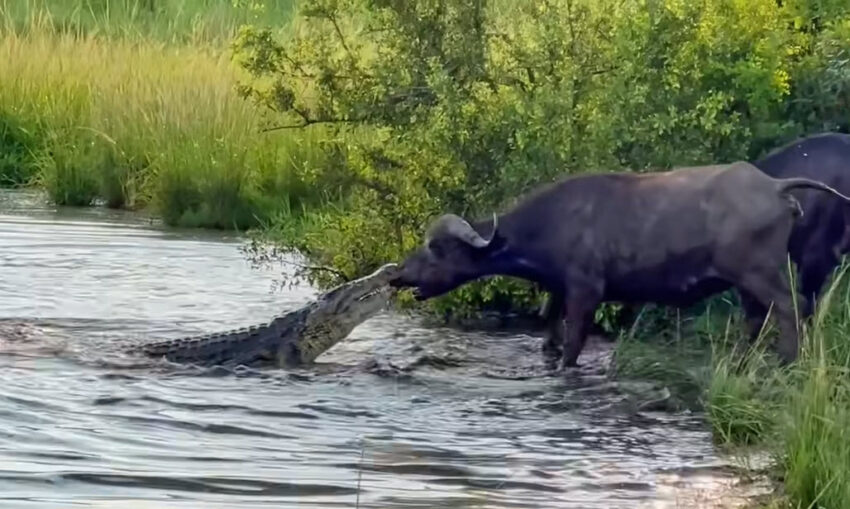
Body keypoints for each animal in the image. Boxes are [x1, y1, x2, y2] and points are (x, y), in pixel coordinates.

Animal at [388, 161, 848, 368]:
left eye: (437, 248)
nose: (398, 275)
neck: (553, 222)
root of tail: (774, 185)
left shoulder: (586, 292)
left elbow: (574, 343)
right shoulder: (561, 290)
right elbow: (548, 329)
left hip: (761, 273)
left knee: (790, 309)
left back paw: (788, 360)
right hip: (745, 282)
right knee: (755, 320)